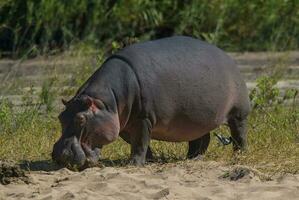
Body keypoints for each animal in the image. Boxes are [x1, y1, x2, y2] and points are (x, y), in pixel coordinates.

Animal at [51, 35, 251, 168]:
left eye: (81, 119)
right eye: (60, 117)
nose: (60, 155)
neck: (106, 102)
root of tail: (227, 56)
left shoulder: (143, 118)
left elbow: (140, 142)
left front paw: (134, 164)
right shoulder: (124, 124)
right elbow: (139, 143)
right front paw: (149, 160)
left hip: (238, 113)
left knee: (239, 135)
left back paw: (239, 156)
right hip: (197, 119)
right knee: (201, 139)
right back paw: (192, 158)